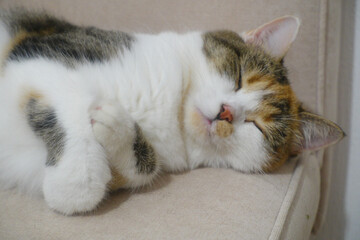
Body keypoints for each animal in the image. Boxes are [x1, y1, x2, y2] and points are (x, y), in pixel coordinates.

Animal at [0, 9, 344, 216]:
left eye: (257, 126)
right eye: (238, 76)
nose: (225, 112)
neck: (173, 111)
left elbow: (138, 171)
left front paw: (117, 127)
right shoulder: (41, 56)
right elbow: (74, 100)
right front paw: (75, 175)